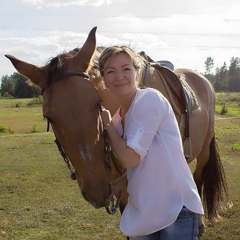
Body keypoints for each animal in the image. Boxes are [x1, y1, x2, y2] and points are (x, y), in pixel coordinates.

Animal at [5, 26, 227, 236]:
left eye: (97, 103)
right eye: (49, 117)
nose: (96, 190)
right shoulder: (119, 187)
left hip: (204, 151)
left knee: (197, 180)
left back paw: (199, 223)